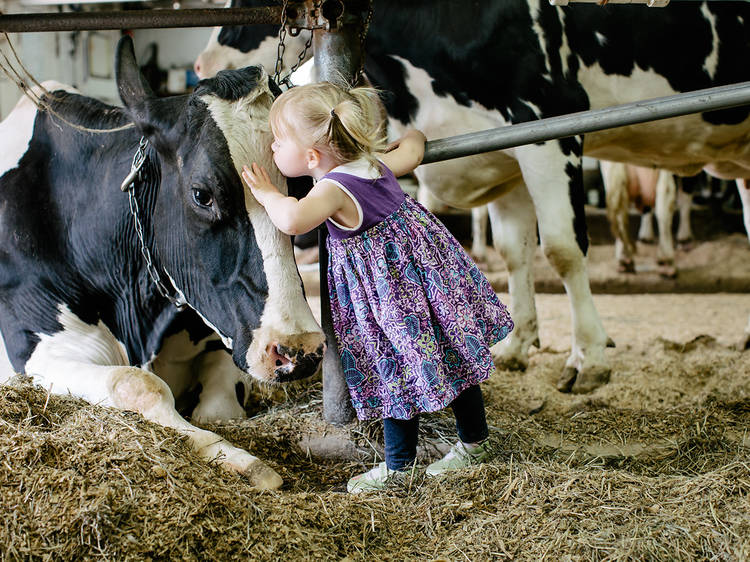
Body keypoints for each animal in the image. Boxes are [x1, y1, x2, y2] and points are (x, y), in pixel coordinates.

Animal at [0, 37, 324, 488]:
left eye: (301, 188)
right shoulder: (38, 347)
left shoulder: (223, 334)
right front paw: (243, 463)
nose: (300, 349)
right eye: (203, 194)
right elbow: (136, 382)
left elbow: (217, 408)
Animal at [195, 0, 750, 390]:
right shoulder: (506, 155)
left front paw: (588, 358)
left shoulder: (549, 122)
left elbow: (563, 251)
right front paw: (518, 345)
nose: (201, 64)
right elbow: (514, 252)